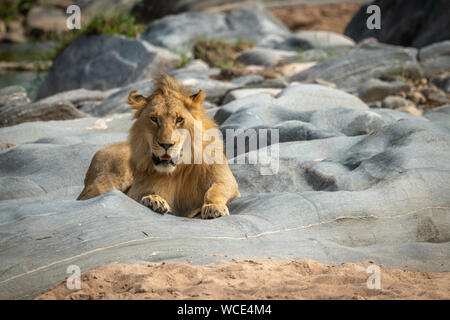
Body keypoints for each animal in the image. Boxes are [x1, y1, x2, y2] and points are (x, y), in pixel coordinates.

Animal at [77, 75, 239, 220]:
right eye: (154, 119)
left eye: (179, 119)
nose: (166, 144)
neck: (178, 171)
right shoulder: (137, 189)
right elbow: (140, 194)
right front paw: (153, 199)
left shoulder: (225, 179)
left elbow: (216, 190)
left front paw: (213, 207)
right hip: (106, 182)